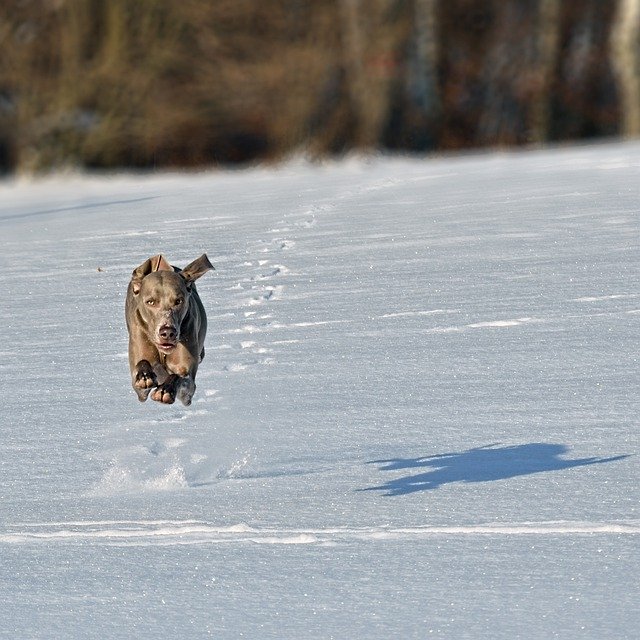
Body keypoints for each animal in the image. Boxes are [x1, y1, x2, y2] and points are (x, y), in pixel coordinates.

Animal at [124, 251, 212, 404]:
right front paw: (144, 376)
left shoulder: (187, 392)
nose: (167, 332)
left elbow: (179, 377)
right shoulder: (140, 391)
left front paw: (165, 390)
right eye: (150, 302)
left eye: (178, 301)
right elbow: (143, 363)